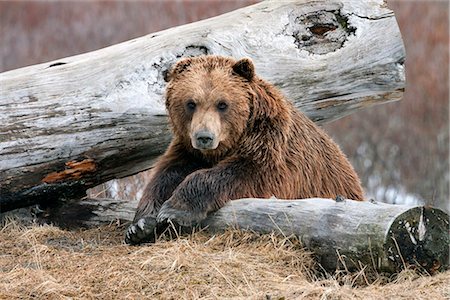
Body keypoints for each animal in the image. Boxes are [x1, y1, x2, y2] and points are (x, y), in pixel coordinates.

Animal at [125, 55, 364, 245]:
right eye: (191, 103)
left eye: (222, 104)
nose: (204, 137)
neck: (227, 145)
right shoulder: (188, 150)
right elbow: (165, 175)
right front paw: (140, 226)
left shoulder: (270, 148)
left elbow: (243, 173)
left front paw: (175, 210)